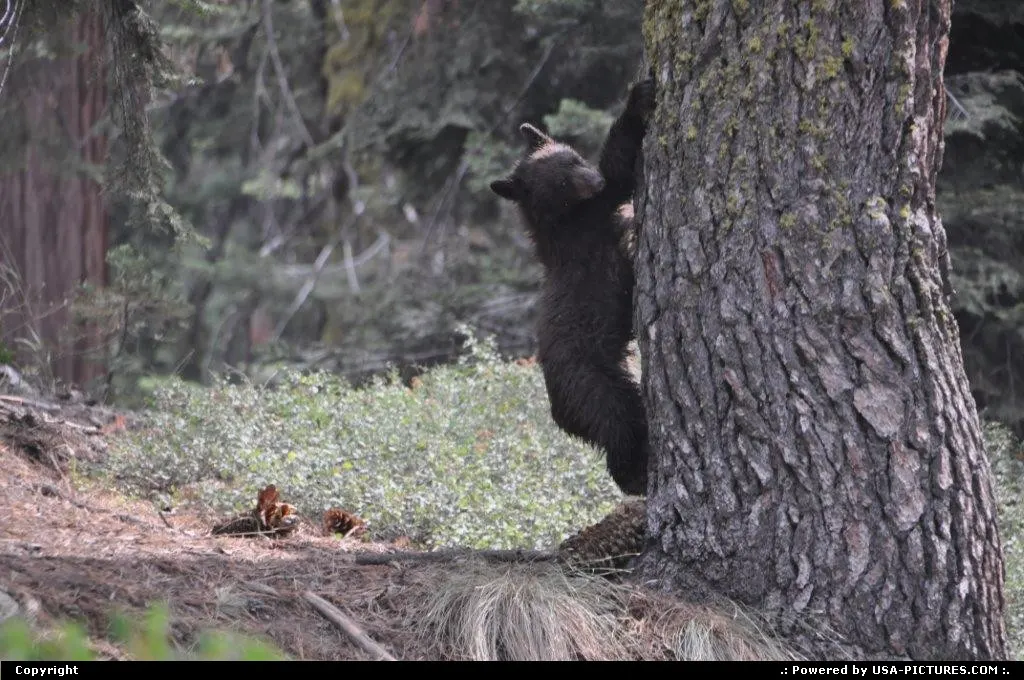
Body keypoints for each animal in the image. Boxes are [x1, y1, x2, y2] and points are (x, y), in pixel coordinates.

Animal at [489, 78, 655, 495]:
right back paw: (636, 476)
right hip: (593, 386)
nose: (592, 180)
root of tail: (559, 415)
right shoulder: (586, 225)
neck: (558, 220)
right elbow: (619, 172)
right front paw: (639, 98)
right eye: (562, 180)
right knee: (621, 423)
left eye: (575, 157)